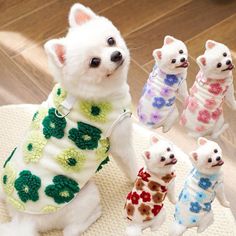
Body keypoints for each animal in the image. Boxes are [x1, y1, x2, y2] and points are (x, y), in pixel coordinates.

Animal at [0, 3, 138, 236]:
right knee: (72, 229)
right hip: (86, 195)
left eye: (110, 40)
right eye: (94, 62)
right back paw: (95, 214)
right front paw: (143, 179)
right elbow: (133, 166)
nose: (116, 55)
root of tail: (23, 219)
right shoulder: (121, 141)